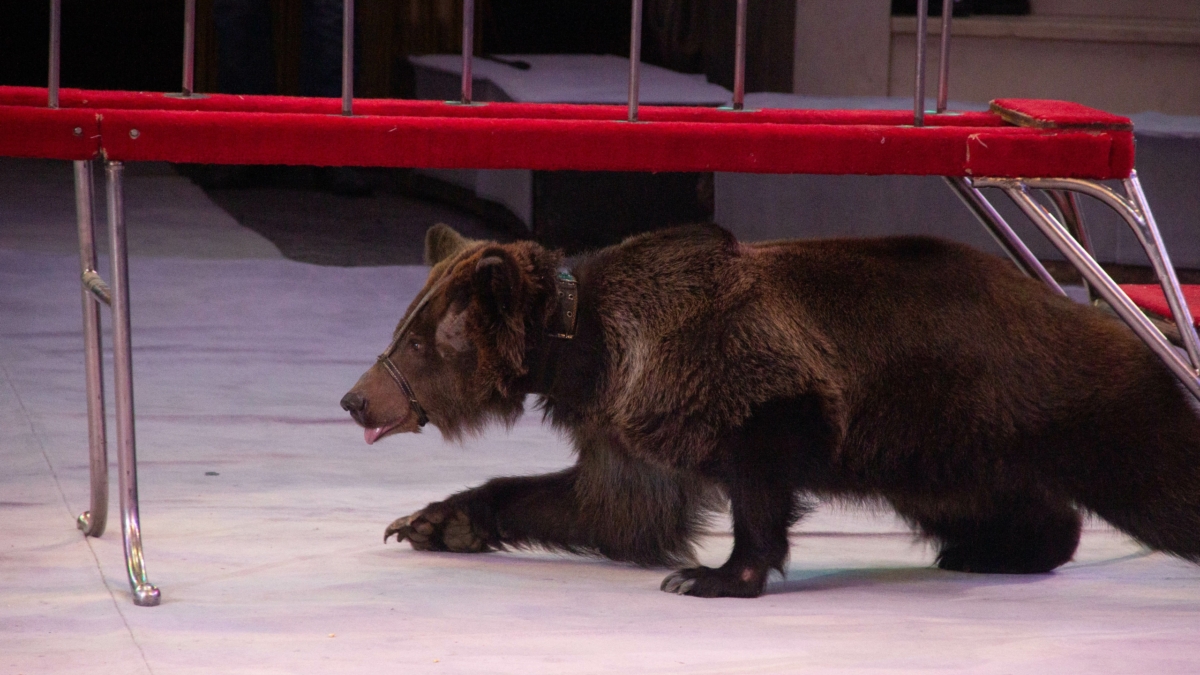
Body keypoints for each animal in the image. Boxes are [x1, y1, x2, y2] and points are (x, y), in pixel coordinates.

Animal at [336, 223, 1200, 595]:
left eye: (419, 341)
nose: (353, 397)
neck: (585, 354)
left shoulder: (739, 381)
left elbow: (755, 482)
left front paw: (713, 573)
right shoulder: (623, 421)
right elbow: (611, 505)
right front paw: (435, 519)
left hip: (1048, 395)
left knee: (1158, 472)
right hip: (942, 448)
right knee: (1001, 501)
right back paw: (991, 549)